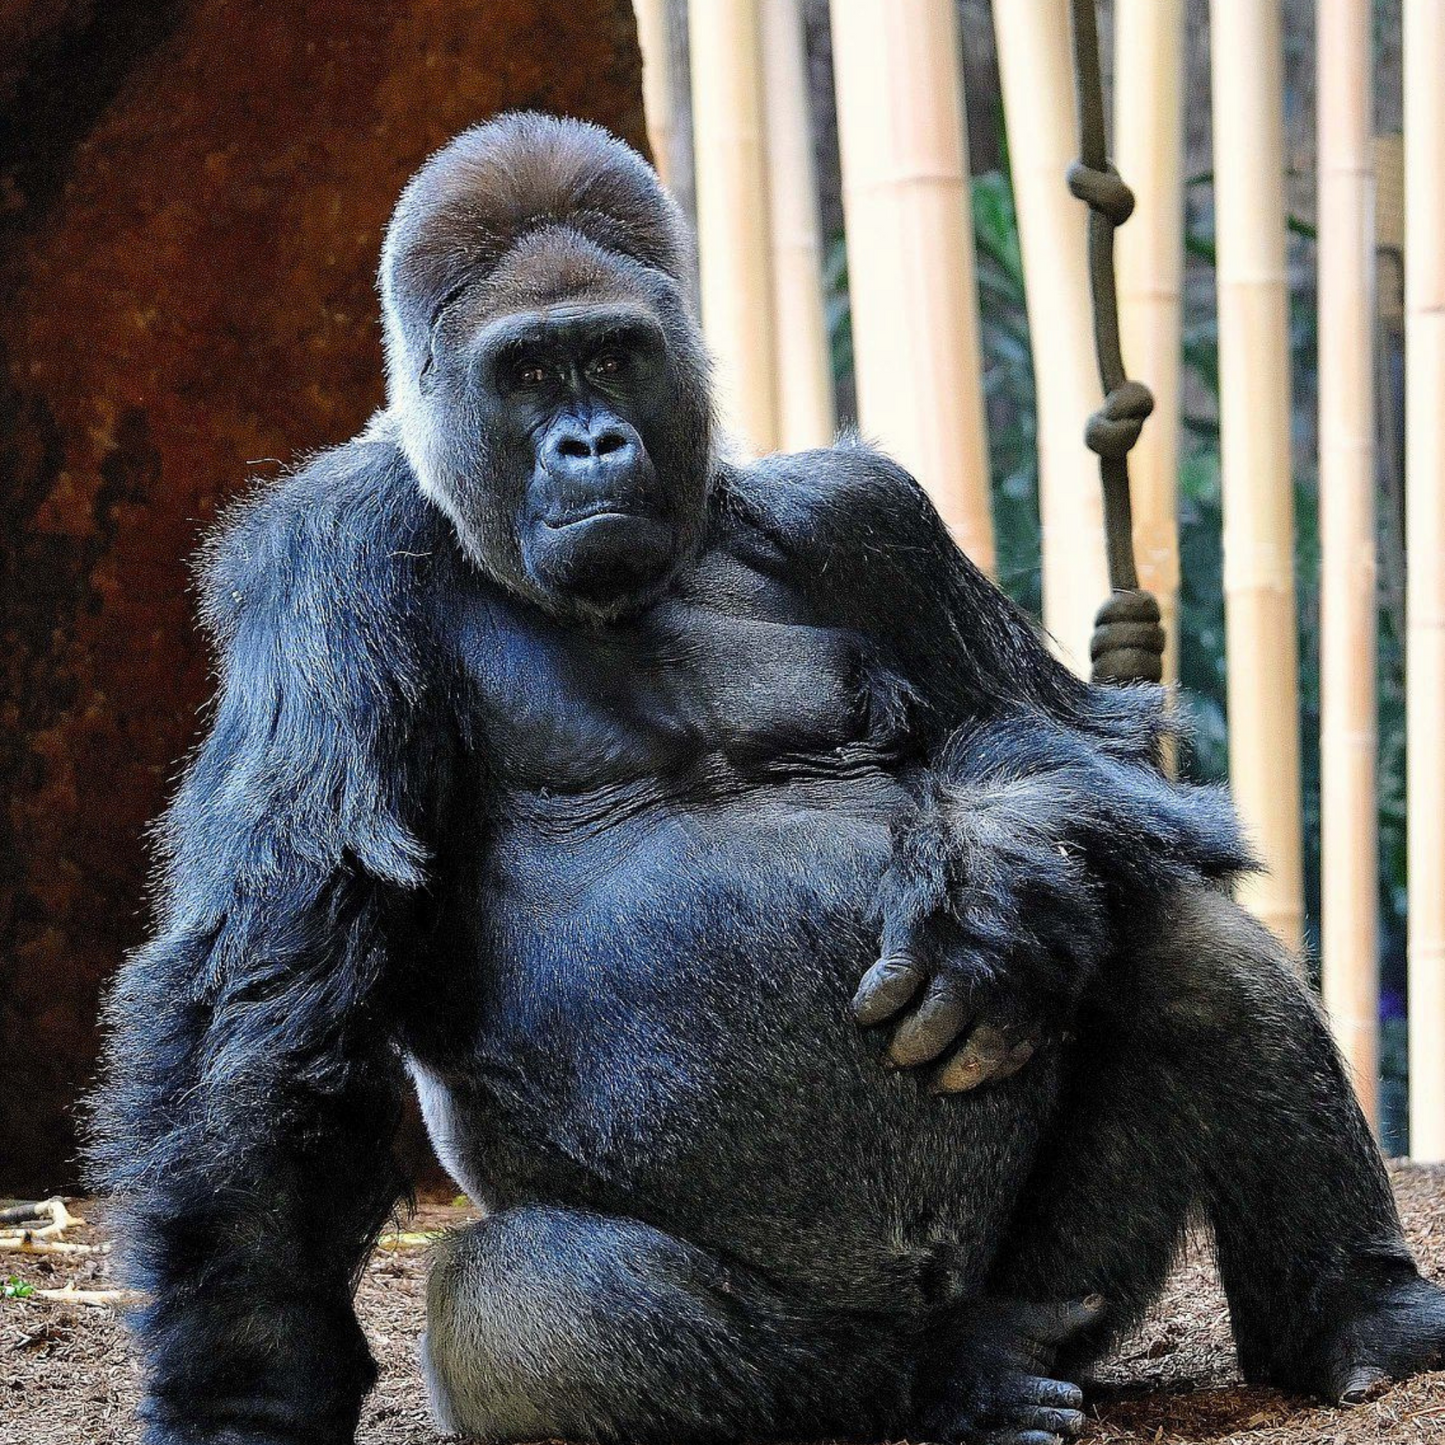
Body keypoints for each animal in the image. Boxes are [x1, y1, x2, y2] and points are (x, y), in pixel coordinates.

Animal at [93, 112, 1445, 1445]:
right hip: (841, 1359)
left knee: (1173, 933)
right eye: (527, 372)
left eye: (613, 356)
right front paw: (240, 1388)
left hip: (1056, 1289)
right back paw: (944, 1385)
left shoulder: (863, 512)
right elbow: (273, 968)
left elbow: (1091, 752)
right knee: (522, 1302)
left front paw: (989, 880)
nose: (591, 442)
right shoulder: (323, 551)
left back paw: (1355, 1323)